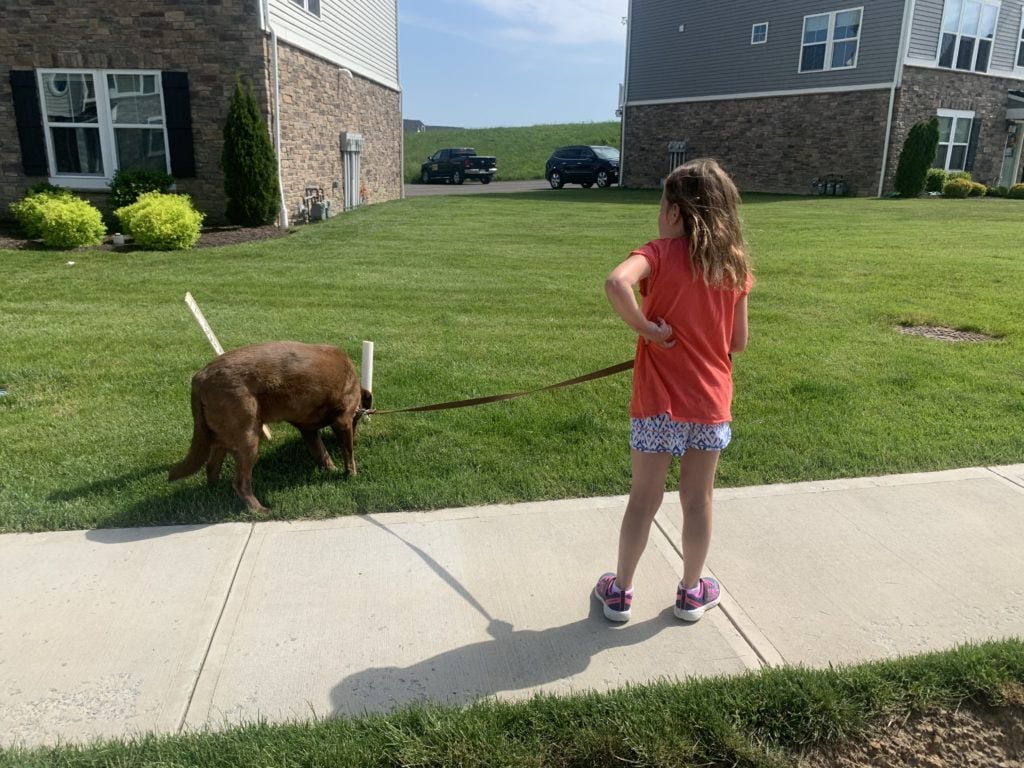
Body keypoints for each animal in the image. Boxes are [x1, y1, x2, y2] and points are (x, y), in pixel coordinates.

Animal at [167, 342, 372, 512]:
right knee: (240, 482)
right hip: (248, 438)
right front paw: (351, 475)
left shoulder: (308, 430)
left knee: (211, 467)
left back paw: (214, 493)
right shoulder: (342, 421)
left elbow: (322, 454)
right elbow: (348, 453)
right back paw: (260, 510)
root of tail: (200, 378)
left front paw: (332, 470)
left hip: (221, 436)